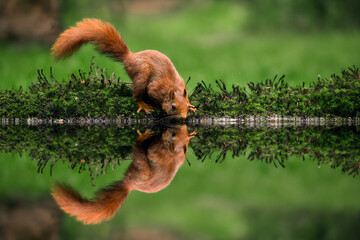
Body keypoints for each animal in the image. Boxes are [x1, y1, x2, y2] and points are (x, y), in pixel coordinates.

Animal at [51, 18, 194, 119]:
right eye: (173, 107)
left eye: (186, 106)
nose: (183, 118)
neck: (173, 87)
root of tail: (129, 57)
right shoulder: (156, 89)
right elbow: (151, 93)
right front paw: (159, 108)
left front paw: (192, 106)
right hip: (142, 73)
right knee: (136, 93)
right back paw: (142, 104)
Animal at [51, 124, 194, 224]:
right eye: (179, 132)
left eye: (173, 134)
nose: (170, 129)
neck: (175, 152)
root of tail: (129, 184)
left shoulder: (159, 152)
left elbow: (152, 152)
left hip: (142, 166)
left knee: (138, 151)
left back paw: (141, 140)